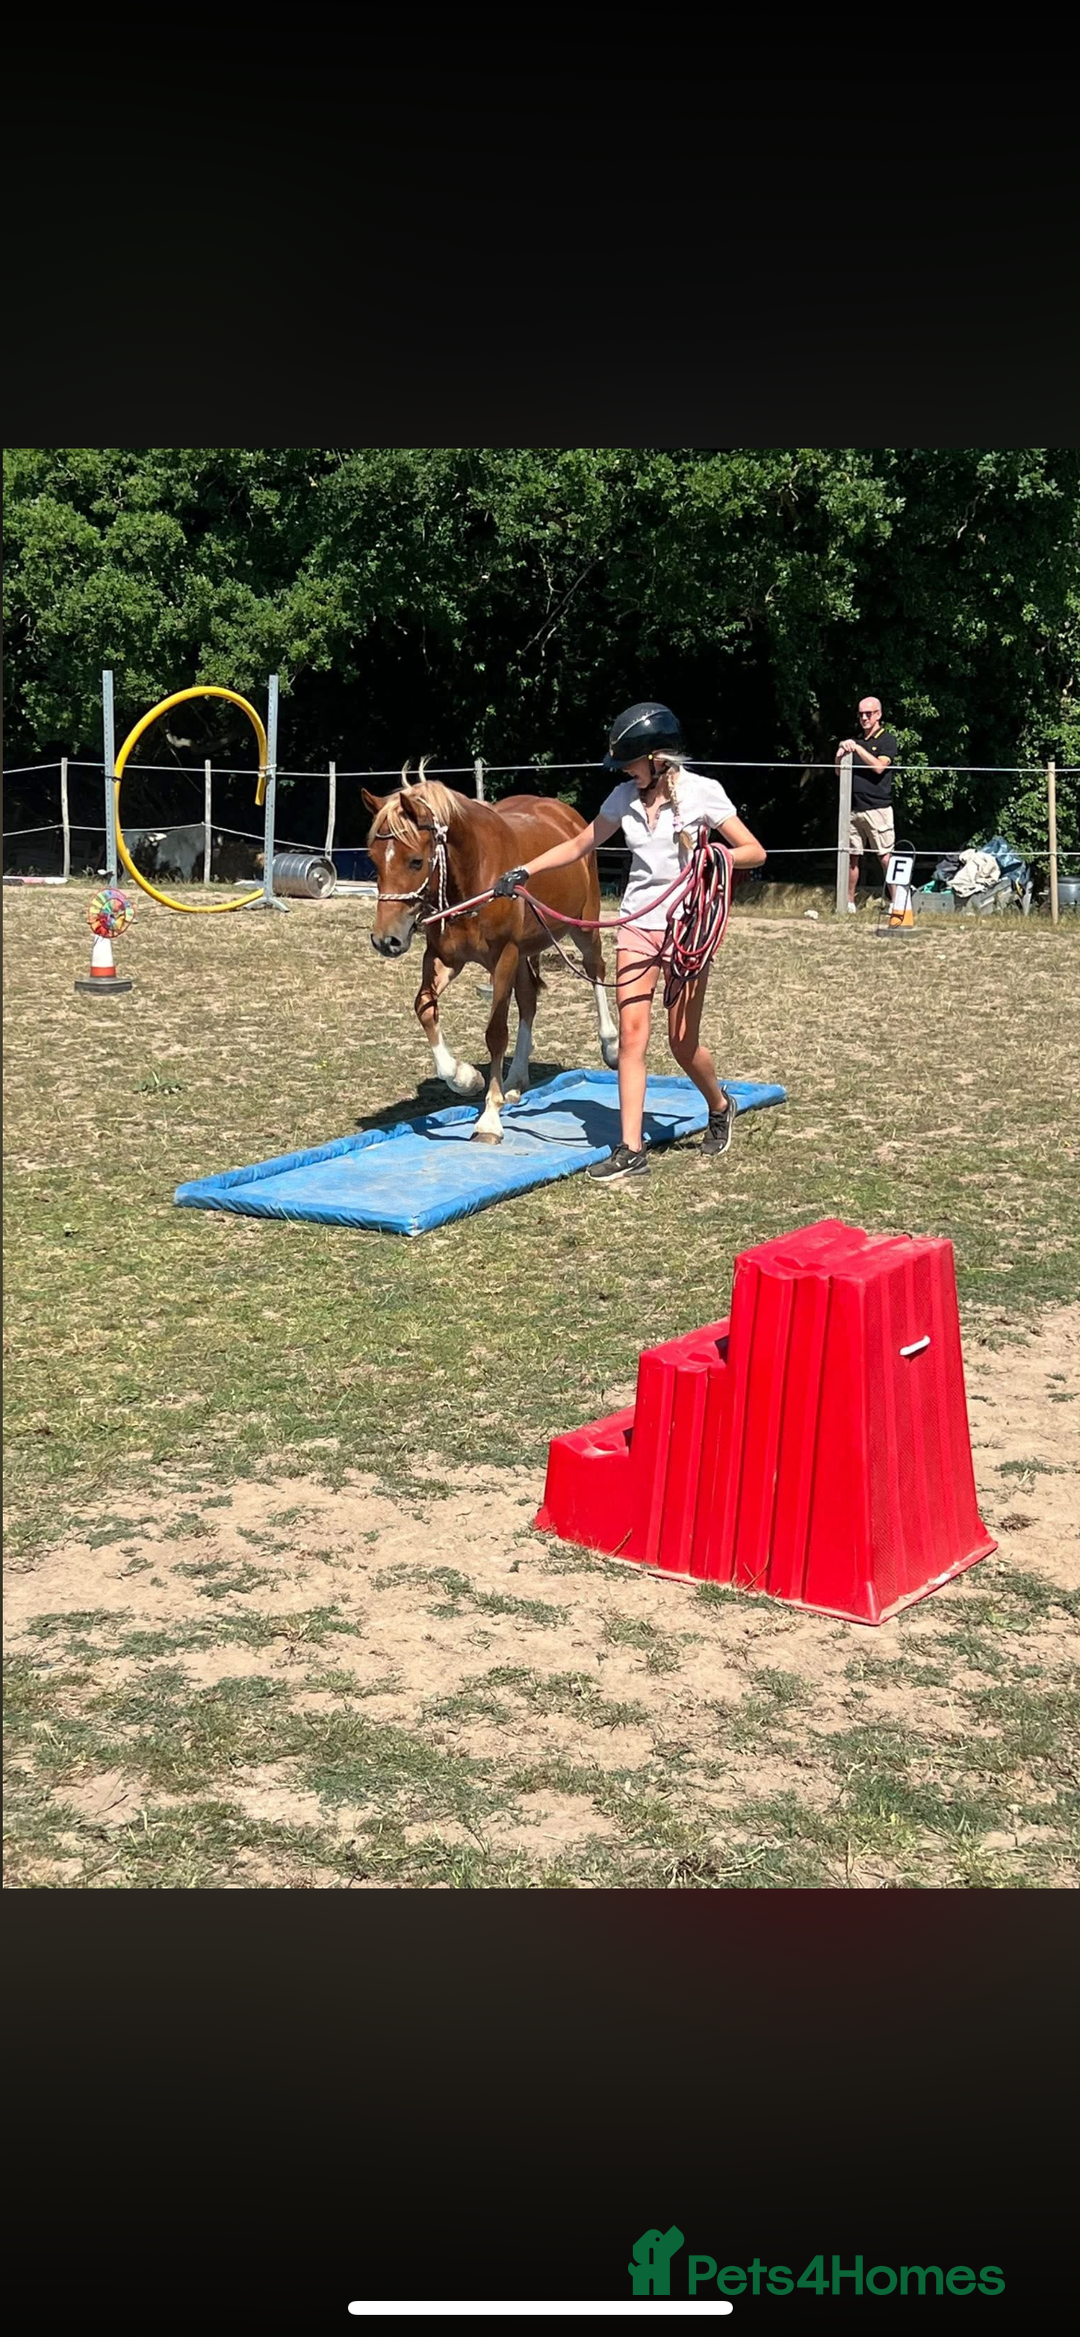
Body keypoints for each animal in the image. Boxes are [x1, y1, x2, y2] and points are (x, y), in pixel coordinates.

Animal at [363, 761, 619, 1143]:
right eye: (374, 859)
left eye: (416, 861)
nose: (386, 940)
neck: (475, 876)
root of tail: (564, 813)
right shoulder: (443, 958)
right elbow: (424, 1008)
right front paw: (465, 1077)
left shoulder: (504, 956)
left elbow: (496, 1032)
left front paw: (489, 1118)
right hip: (527, 950)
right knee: (529, 1000)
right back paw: (515, 1080)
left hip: (582, 926)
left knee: (595, 971)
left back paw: (611, 1045)